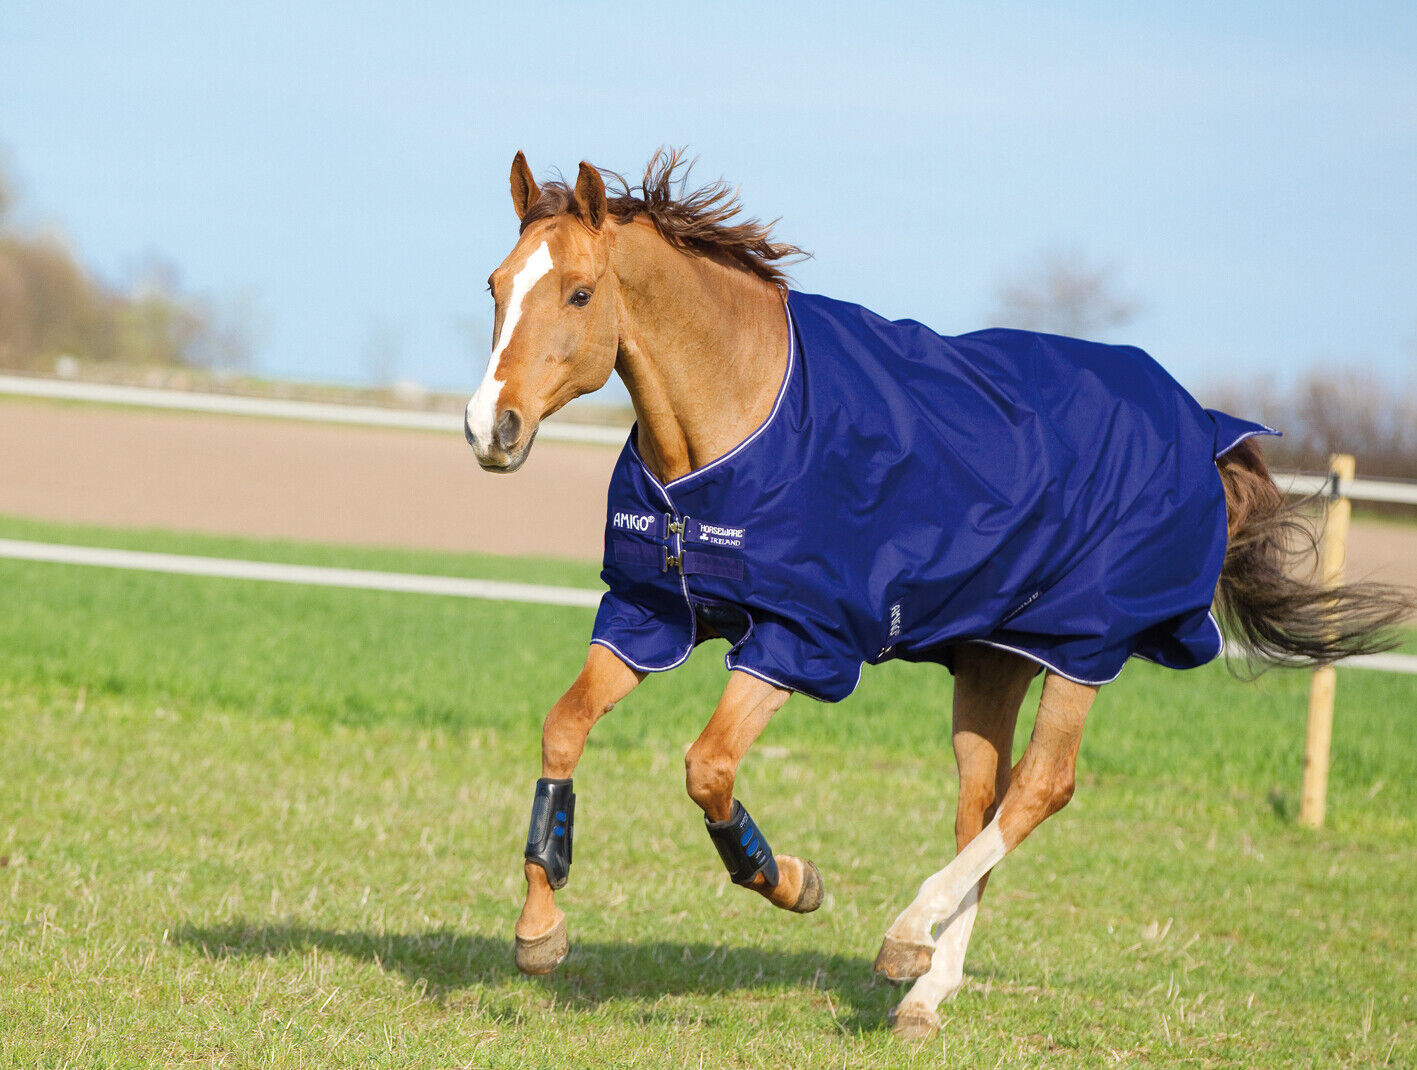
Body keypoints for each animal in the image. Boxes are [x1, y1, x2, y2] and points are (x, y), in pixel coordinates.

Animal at [462, 150, 1411, 1039]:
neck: (742, 417)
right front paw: (539, 931)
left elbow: (708, 768)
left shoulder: (799, 639)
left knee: (1040, 788)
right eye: (496, 285)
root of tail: (1203, 424)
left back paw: (906, 936)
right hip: (994, 657)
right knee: (980, 800)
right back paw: (925, 990)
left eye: (579, 293)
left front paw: (789, 881)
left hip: (1083, 646)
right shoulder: (650, 614)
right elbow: (563, 728)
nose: (487, 430)